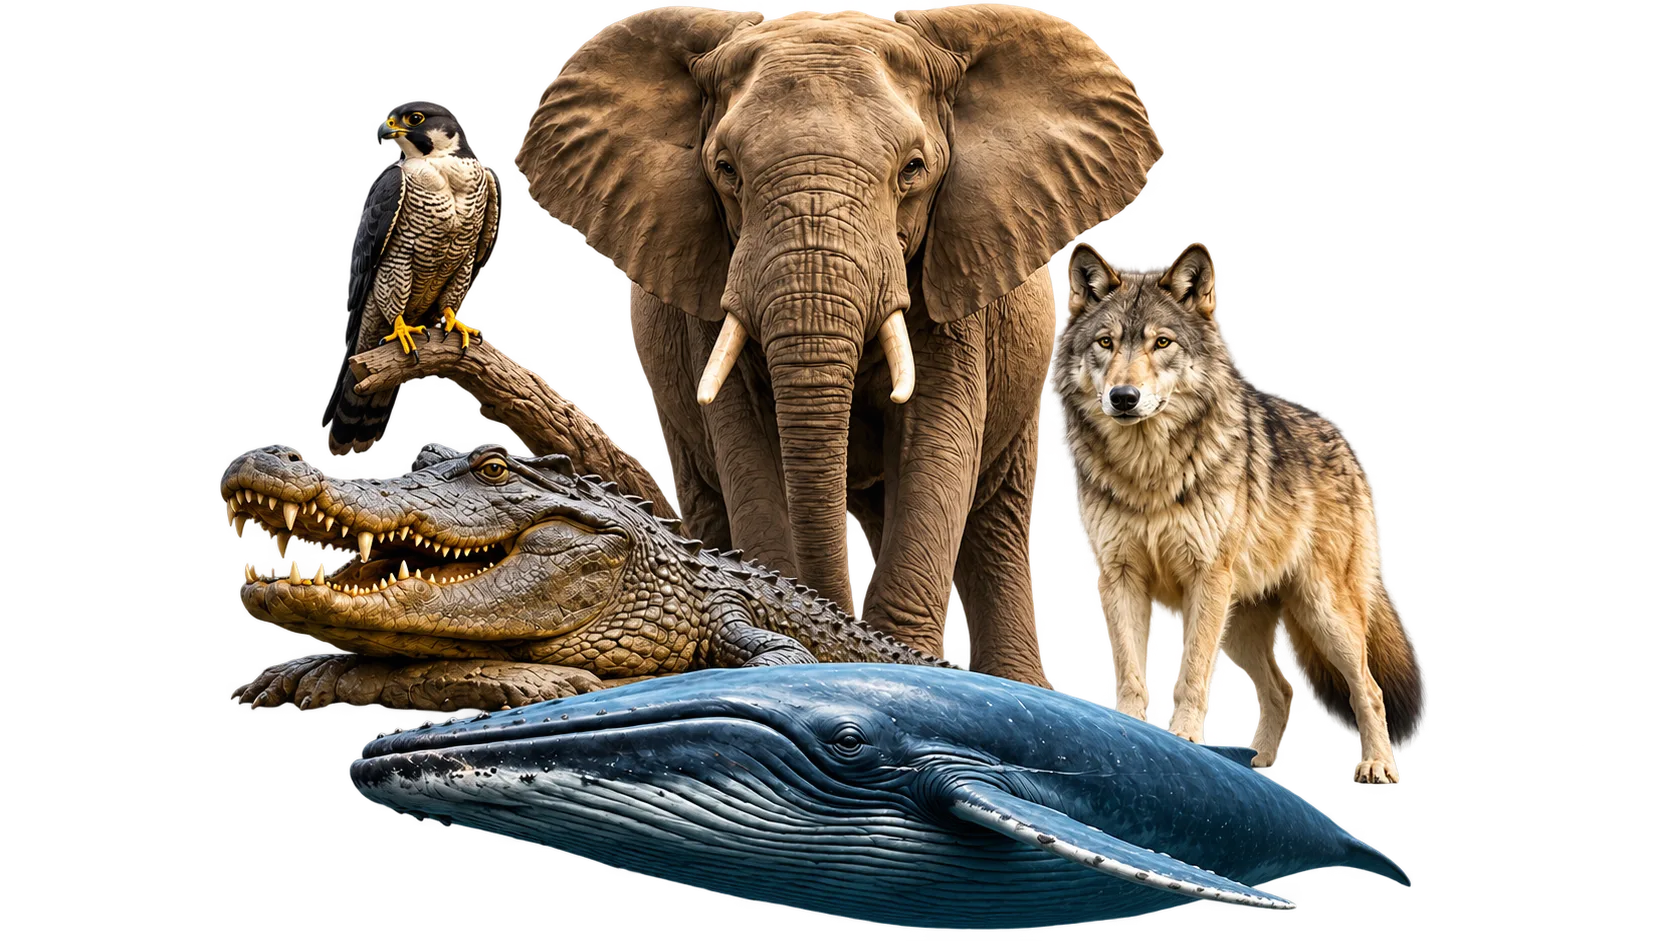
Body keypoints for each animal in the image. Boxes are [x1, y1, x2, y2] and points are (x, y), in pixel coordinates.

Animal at [516, 4, 1163, 687]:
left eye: (913, 170)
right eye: (726, 171)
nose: (826, 617)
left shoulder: (958, 281)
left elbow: (937, 439)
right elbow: (746, 446)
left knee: (994, 520)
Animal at [1049, 241, 1427, 785]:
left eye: (1161, 343)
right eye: (1106, 342)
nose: (1124, 398)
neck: (1148, 471)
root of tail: (1348, 447)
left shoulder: (1205, 578)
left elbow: (1189, 674)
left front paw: (1184, 738)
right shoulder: (1119, 577)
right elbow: (1131, 672)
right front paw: (1129, 735)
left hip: (1321, 612)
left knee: (1368, 689)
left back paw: (1376, 764)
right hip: (1240, 625)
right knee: (1282, 691)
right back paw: (1258, 767)